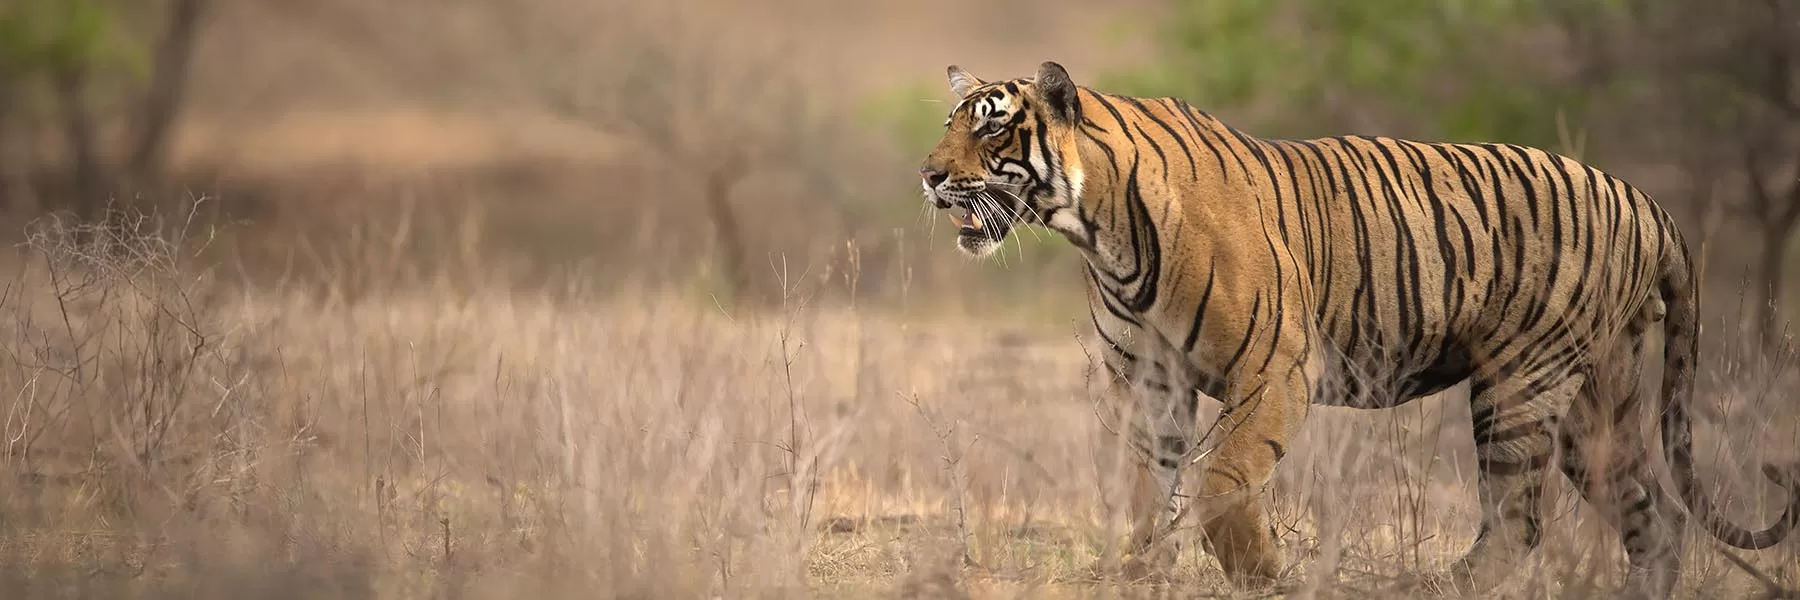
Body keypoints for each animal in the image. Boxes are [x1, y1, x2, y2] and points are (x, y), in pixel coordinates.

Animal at [916, 61, 1800, 599]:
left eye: (990, 128)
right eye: (951, 124)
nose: (927, 175)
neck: (1099, 231)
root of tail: (1647, 203)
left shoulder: (1276, 369)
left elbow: (1221, 480)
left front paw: (1263, 572)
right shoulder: (1147, 383)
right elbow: (1146, 489)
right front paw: (1141, 573)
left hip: (1521, 386)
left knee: (1519, 521)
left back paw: (1436, 587)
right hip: (1597, 406)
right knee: (1657, 515)